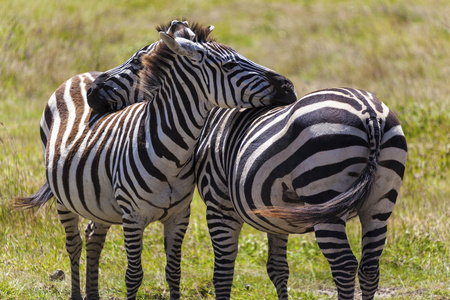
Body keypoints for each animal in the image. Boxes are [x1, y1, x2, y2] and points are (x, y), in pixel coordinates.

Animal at [16, 19, 298, 300]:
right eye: (229, 65)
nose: (289, 87)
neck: (174, 155)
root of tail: (81, 74)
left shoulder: (179, 216)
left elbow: (174, 272)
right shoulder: (132, 217)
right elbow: (133, 275)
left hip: (100, 204)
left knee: (94, 238)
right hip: (63, 197)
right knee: (73, 244)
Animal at [195, 88, 410, 298]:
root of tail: (369, 113)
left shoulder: (219, 205)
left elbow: (223, 273)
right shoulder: (276, 217)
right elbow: (277, 269)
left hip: (325, 193)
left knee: (345, 266)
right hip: (379, 203)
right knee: (370, 267)